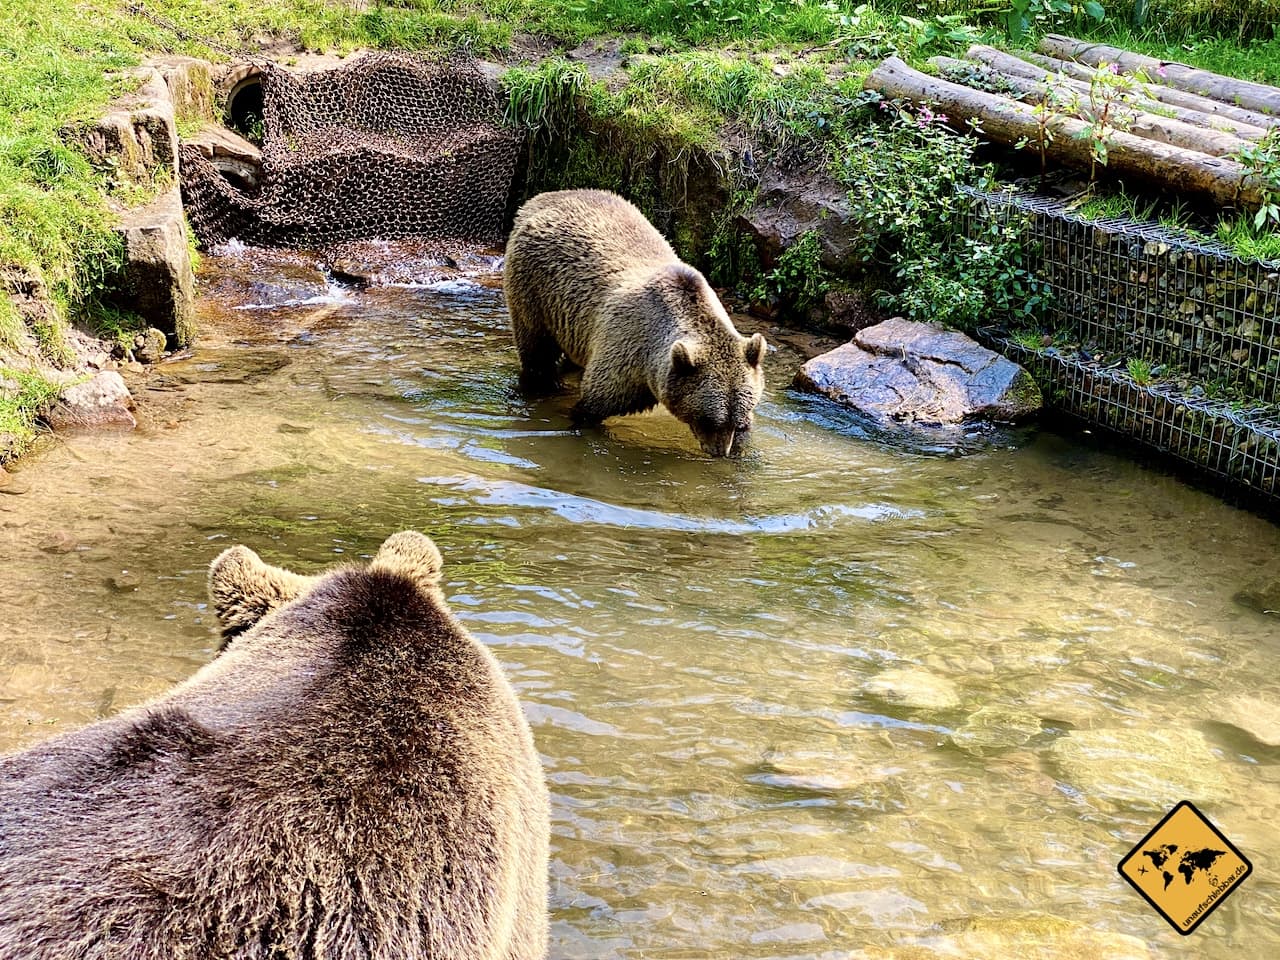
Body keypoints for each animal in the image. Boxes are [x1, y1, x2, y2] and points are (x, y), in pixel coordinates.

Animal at [501, 189, 762, 460]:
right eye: (708, 419)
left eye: (737, 421)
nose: (719, 452)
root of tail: (542, 198)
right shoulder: (626, 352)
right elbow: (592, 406)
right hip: (536, 291)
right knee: (536, 352)